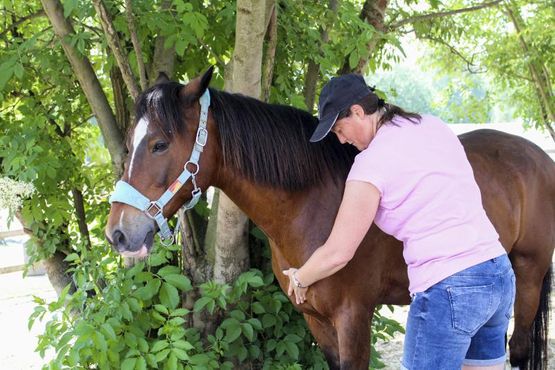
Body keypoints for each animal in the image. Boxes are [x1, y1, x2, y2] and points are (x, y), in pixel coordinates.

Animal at [106, 68, 552, 368]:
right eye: (131, 142)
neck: (312, 204)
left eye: (159, 144)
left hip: (528, 275)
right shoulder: (317, 321)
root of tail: (538, 156)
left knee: (519, 348)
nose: (117, 234)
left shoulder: (353, 318)